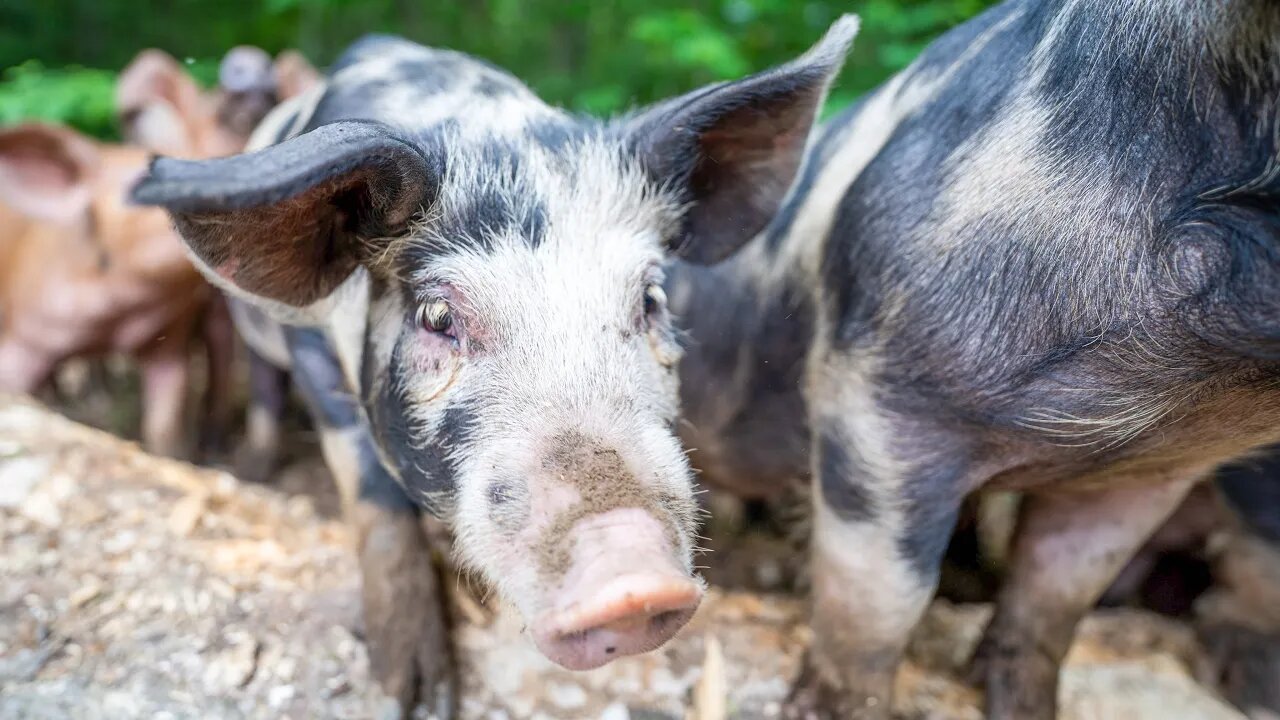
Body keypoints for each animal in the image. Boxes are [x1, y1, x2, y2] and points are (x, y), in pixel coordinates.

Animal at [129, 20, 860, 712]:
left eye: (650, 299)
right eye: (436, 316)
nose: (631, 578)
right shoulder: (314, 355)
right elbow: (372, 494)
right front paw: (412, 696)